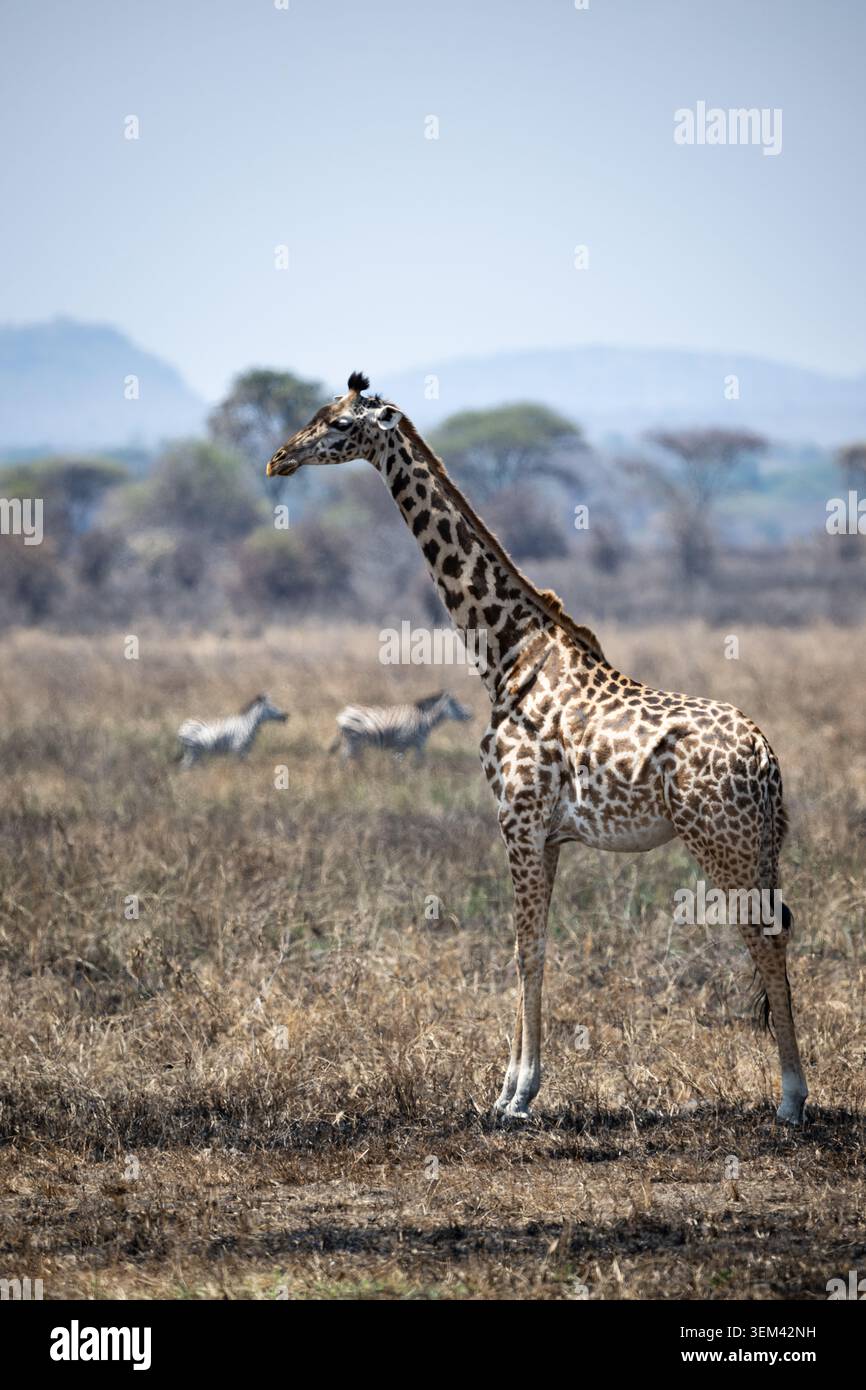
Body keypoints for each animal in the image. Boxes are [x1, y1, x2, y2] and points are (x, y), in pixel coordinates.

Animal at [267, 372, 808, 1125]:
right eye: (318, 413)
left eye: (342, 425)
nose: (278, 459)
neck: (503, 651)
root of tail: (765, 758)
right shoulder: (547, 835)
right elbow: (535, 946)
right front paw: (509, 1088)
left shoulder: (517, 819)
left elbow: (524, 949)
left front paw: (517, 1096)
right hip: (758, 841)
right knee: (777, 930)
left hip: (720, 841)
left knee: (764, 936)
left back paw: (791, 1098)